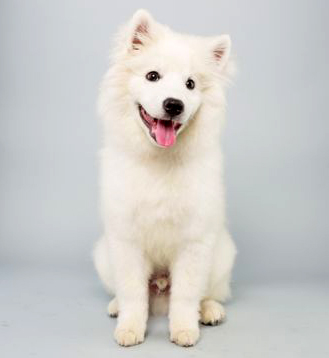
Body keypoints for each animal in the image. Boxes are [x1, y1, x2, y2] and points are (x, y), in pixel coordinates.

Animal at [92, 9, 236, 346]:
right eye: (152, 76)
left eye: (190, 84)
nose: (174, 104)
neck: (160, 159)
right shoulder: (127, 241)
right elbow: (133, 294)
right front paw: (130, 329)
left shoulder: (194, 242)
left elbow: (185, 296)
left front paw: (184, 330)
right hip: (103, 256)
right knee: (128, 292)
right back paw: (116, 306)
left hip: (222, 255)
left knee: (209, 293)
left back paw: (209, 311)